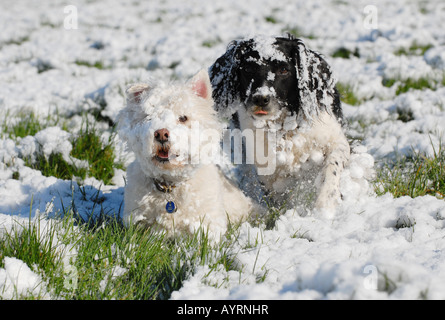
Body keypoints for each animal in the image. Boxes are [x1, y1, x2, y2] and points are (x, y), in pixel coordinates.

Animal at [208, 34, 350, 215]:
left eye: (283, 70)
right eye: (248, 69)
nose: (261, 99)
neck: (284, 128)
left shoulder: (334, 139)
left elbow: (332, 166)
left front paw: (326, 203)